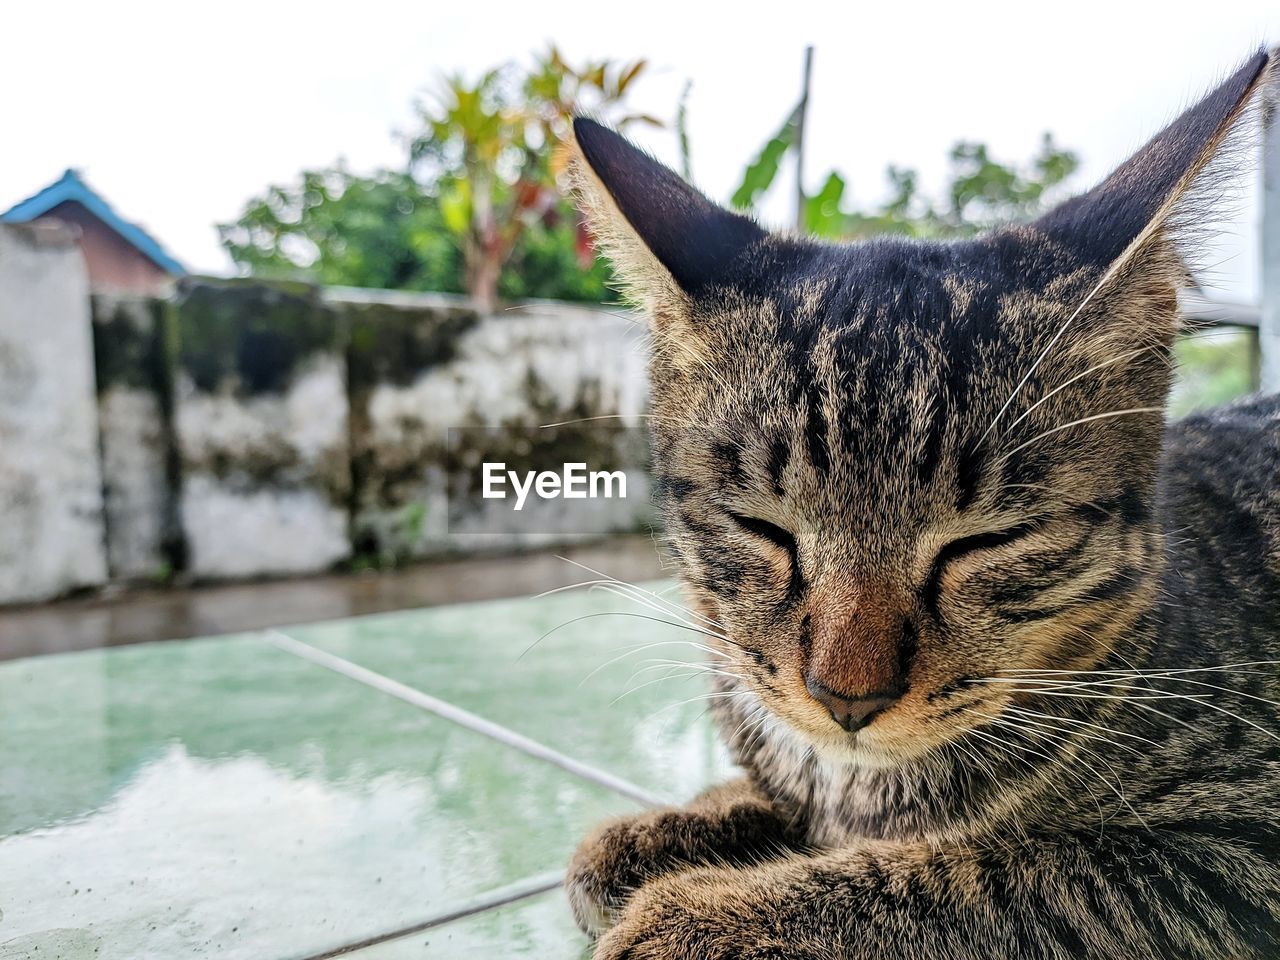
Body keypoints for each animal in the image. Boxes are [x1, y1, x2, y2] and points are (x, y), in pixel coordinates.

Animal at [565, 50, 1280, 960]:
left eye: (988, 541)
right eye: (762, 528)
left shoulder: (1238, 848)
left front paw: (700, 916)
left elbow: (996, 877)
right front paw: (684, 822)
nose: (847, 699)